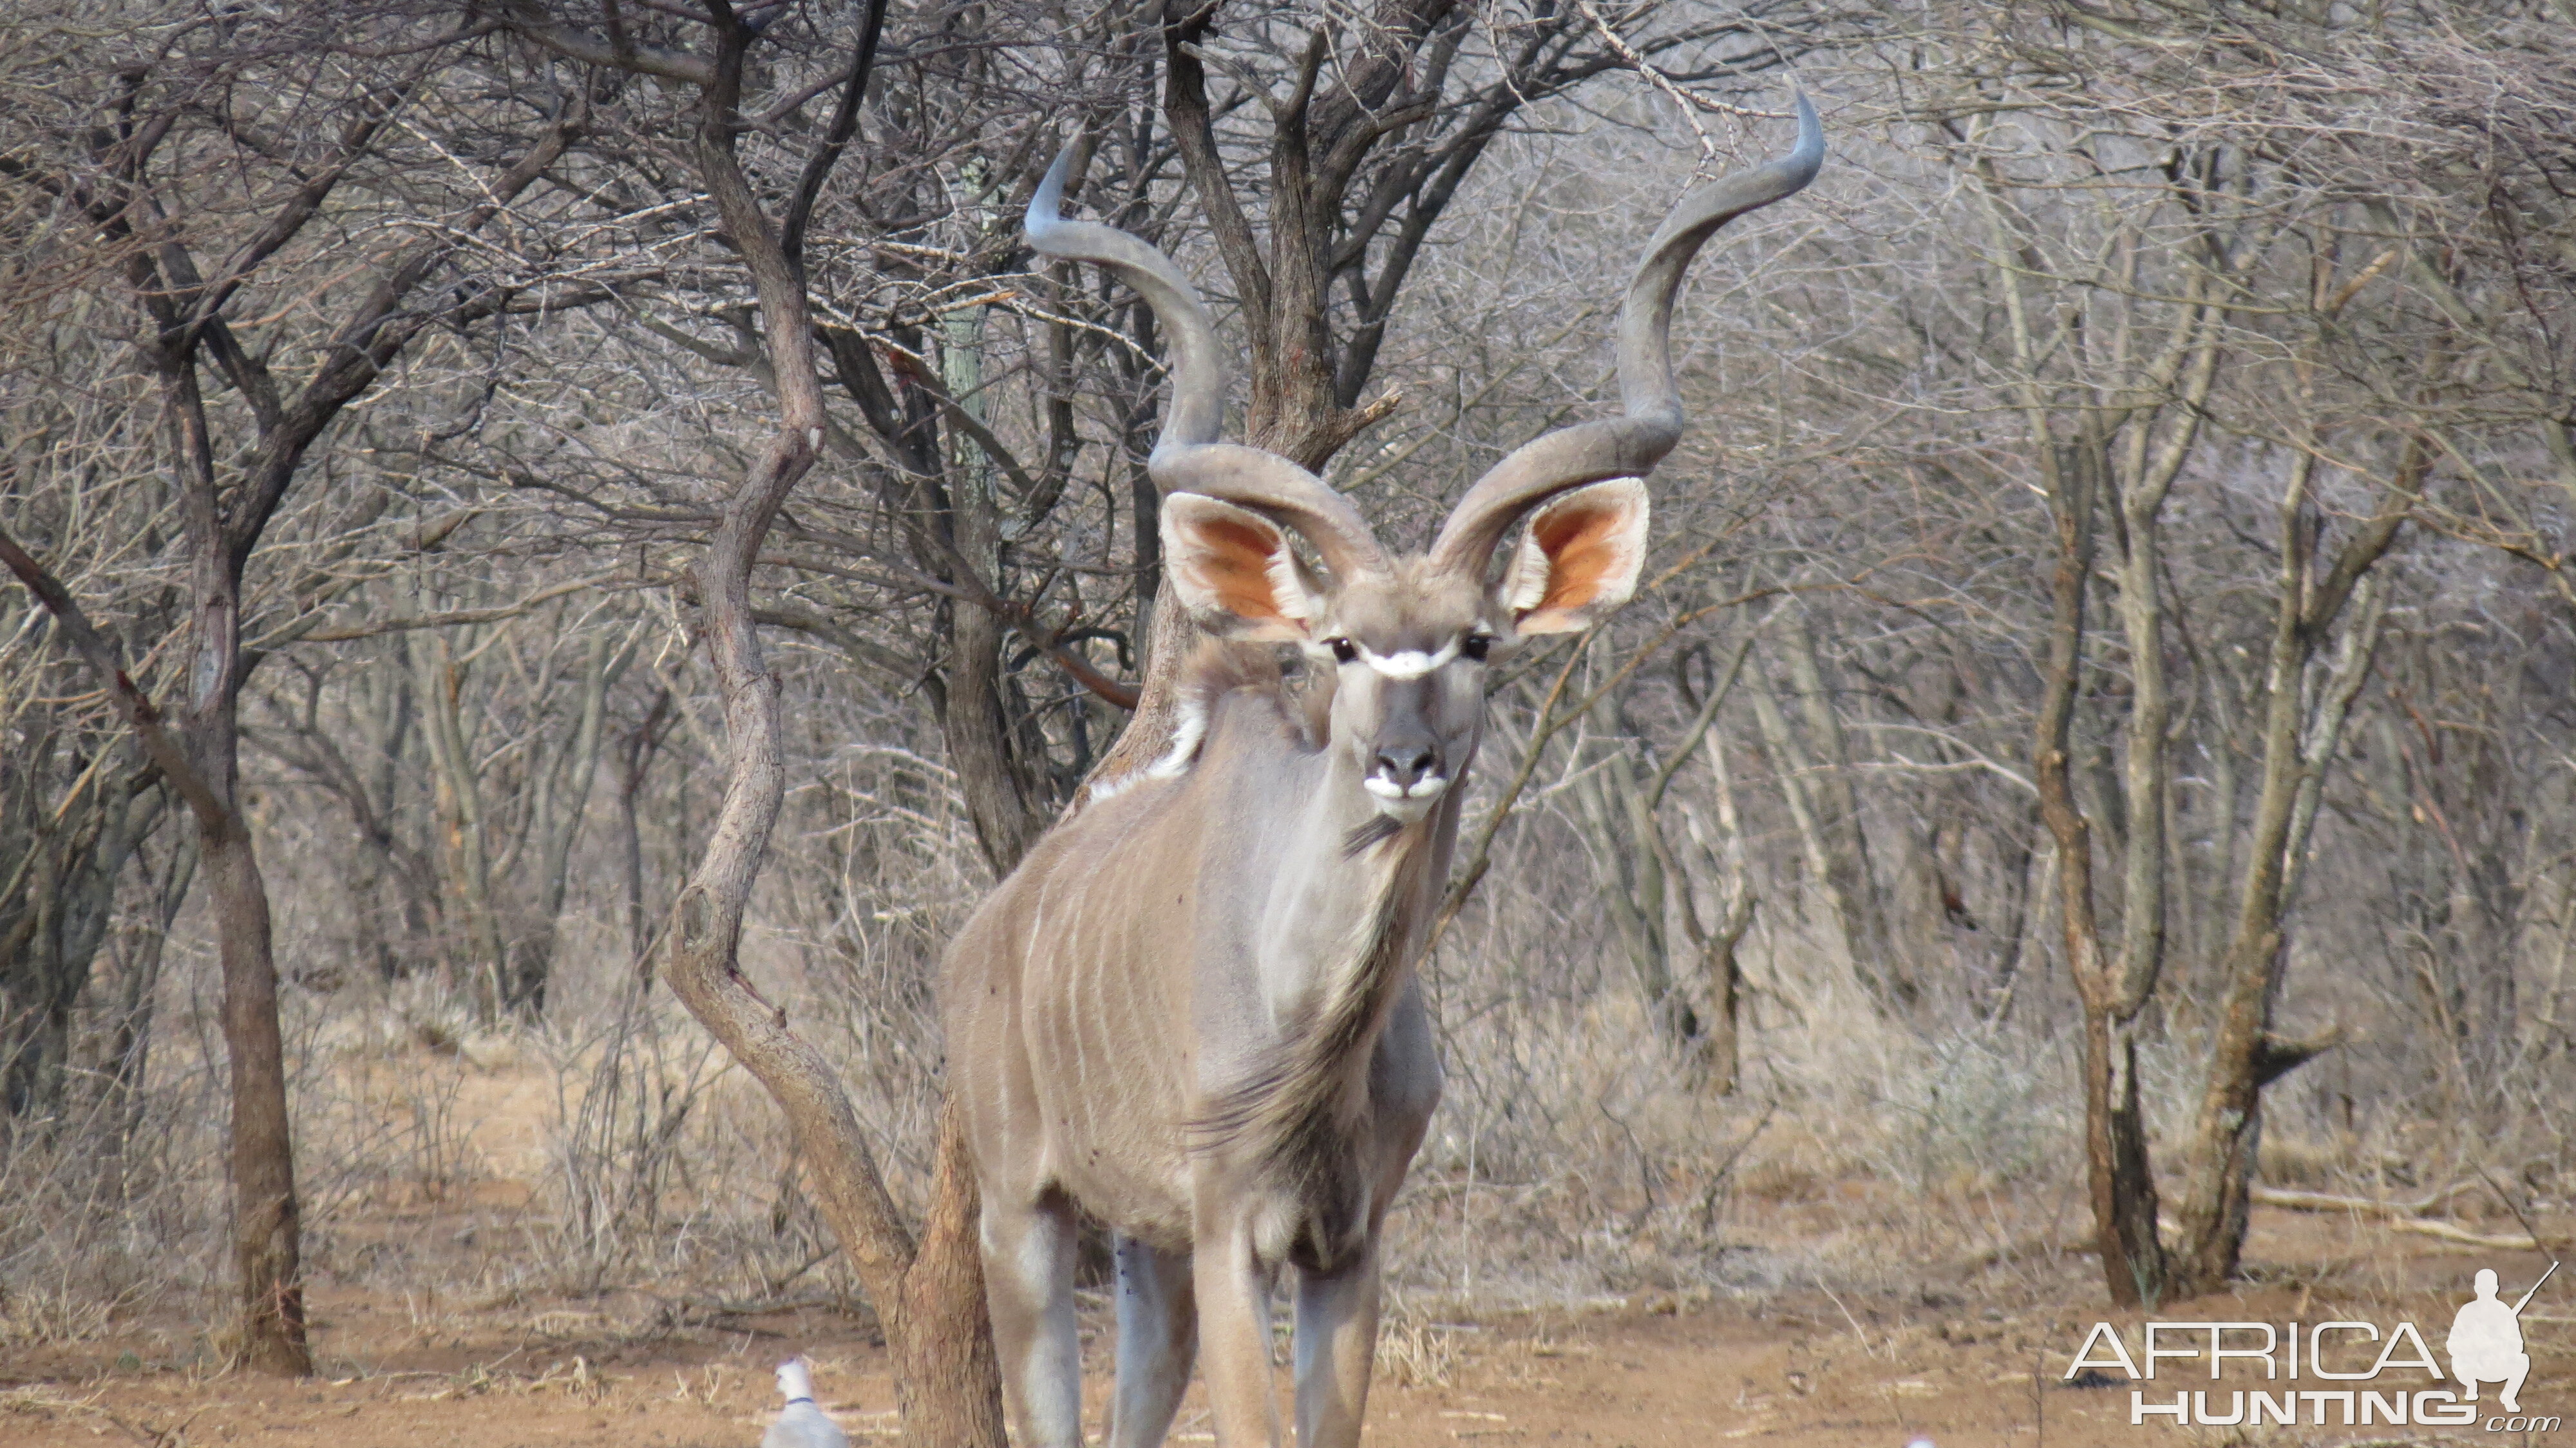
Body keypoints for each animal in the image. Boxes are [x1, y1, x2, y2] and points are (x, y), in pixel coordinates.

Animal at [943, 96, 1814, 1433]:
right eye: (1343, 644)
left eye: (1478, 642)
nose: (1406, 760)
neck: (1310, 1025)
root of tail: (989, 928)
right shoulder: (1229, 1231)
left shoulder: (1348, 1242)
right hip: (1021, 1214)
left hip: (1145, 1254)